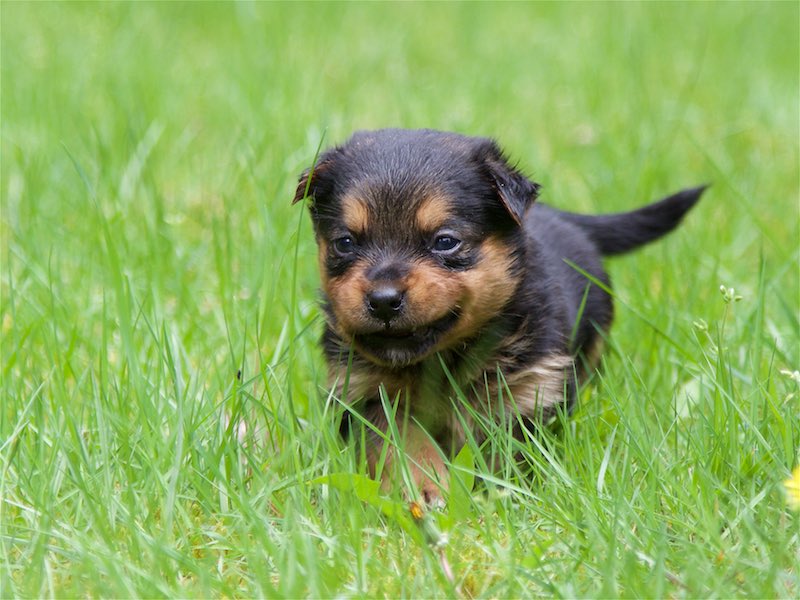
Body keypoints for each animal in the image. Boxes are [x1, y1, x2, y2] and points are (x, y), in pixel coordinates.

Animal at [294, 128, 705, 503]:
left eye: (446, 241)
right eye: (345, 243)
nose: (382, 300)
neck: (441, 361)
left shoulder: (528, 390)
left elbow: (505, 453)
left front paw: (501, 494)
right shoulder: (367, 395)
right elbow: (403, 445)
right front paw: (426, 490)